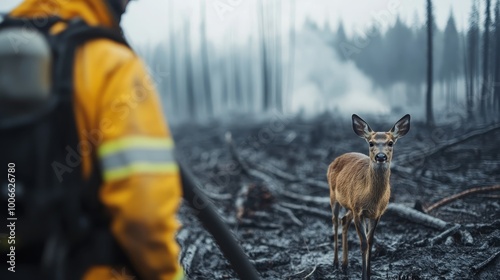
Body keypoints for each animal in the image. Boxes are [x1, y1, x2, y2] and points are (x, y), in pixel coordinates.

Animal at [328, 114, 410, 280]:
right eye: (371, 143)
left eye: (390, 142)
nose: (381, 156)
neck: (372, 199)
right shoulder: (358, 211)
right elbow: (363, 243)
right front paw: (363, 275)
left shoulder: (376, 213)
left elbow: (371, 241)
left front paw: (370, 273)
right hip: (333, 196)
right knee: (335, 221)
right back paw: (335, 263)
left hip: (350, 205)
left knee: (344, 220)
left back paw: (345, 265)